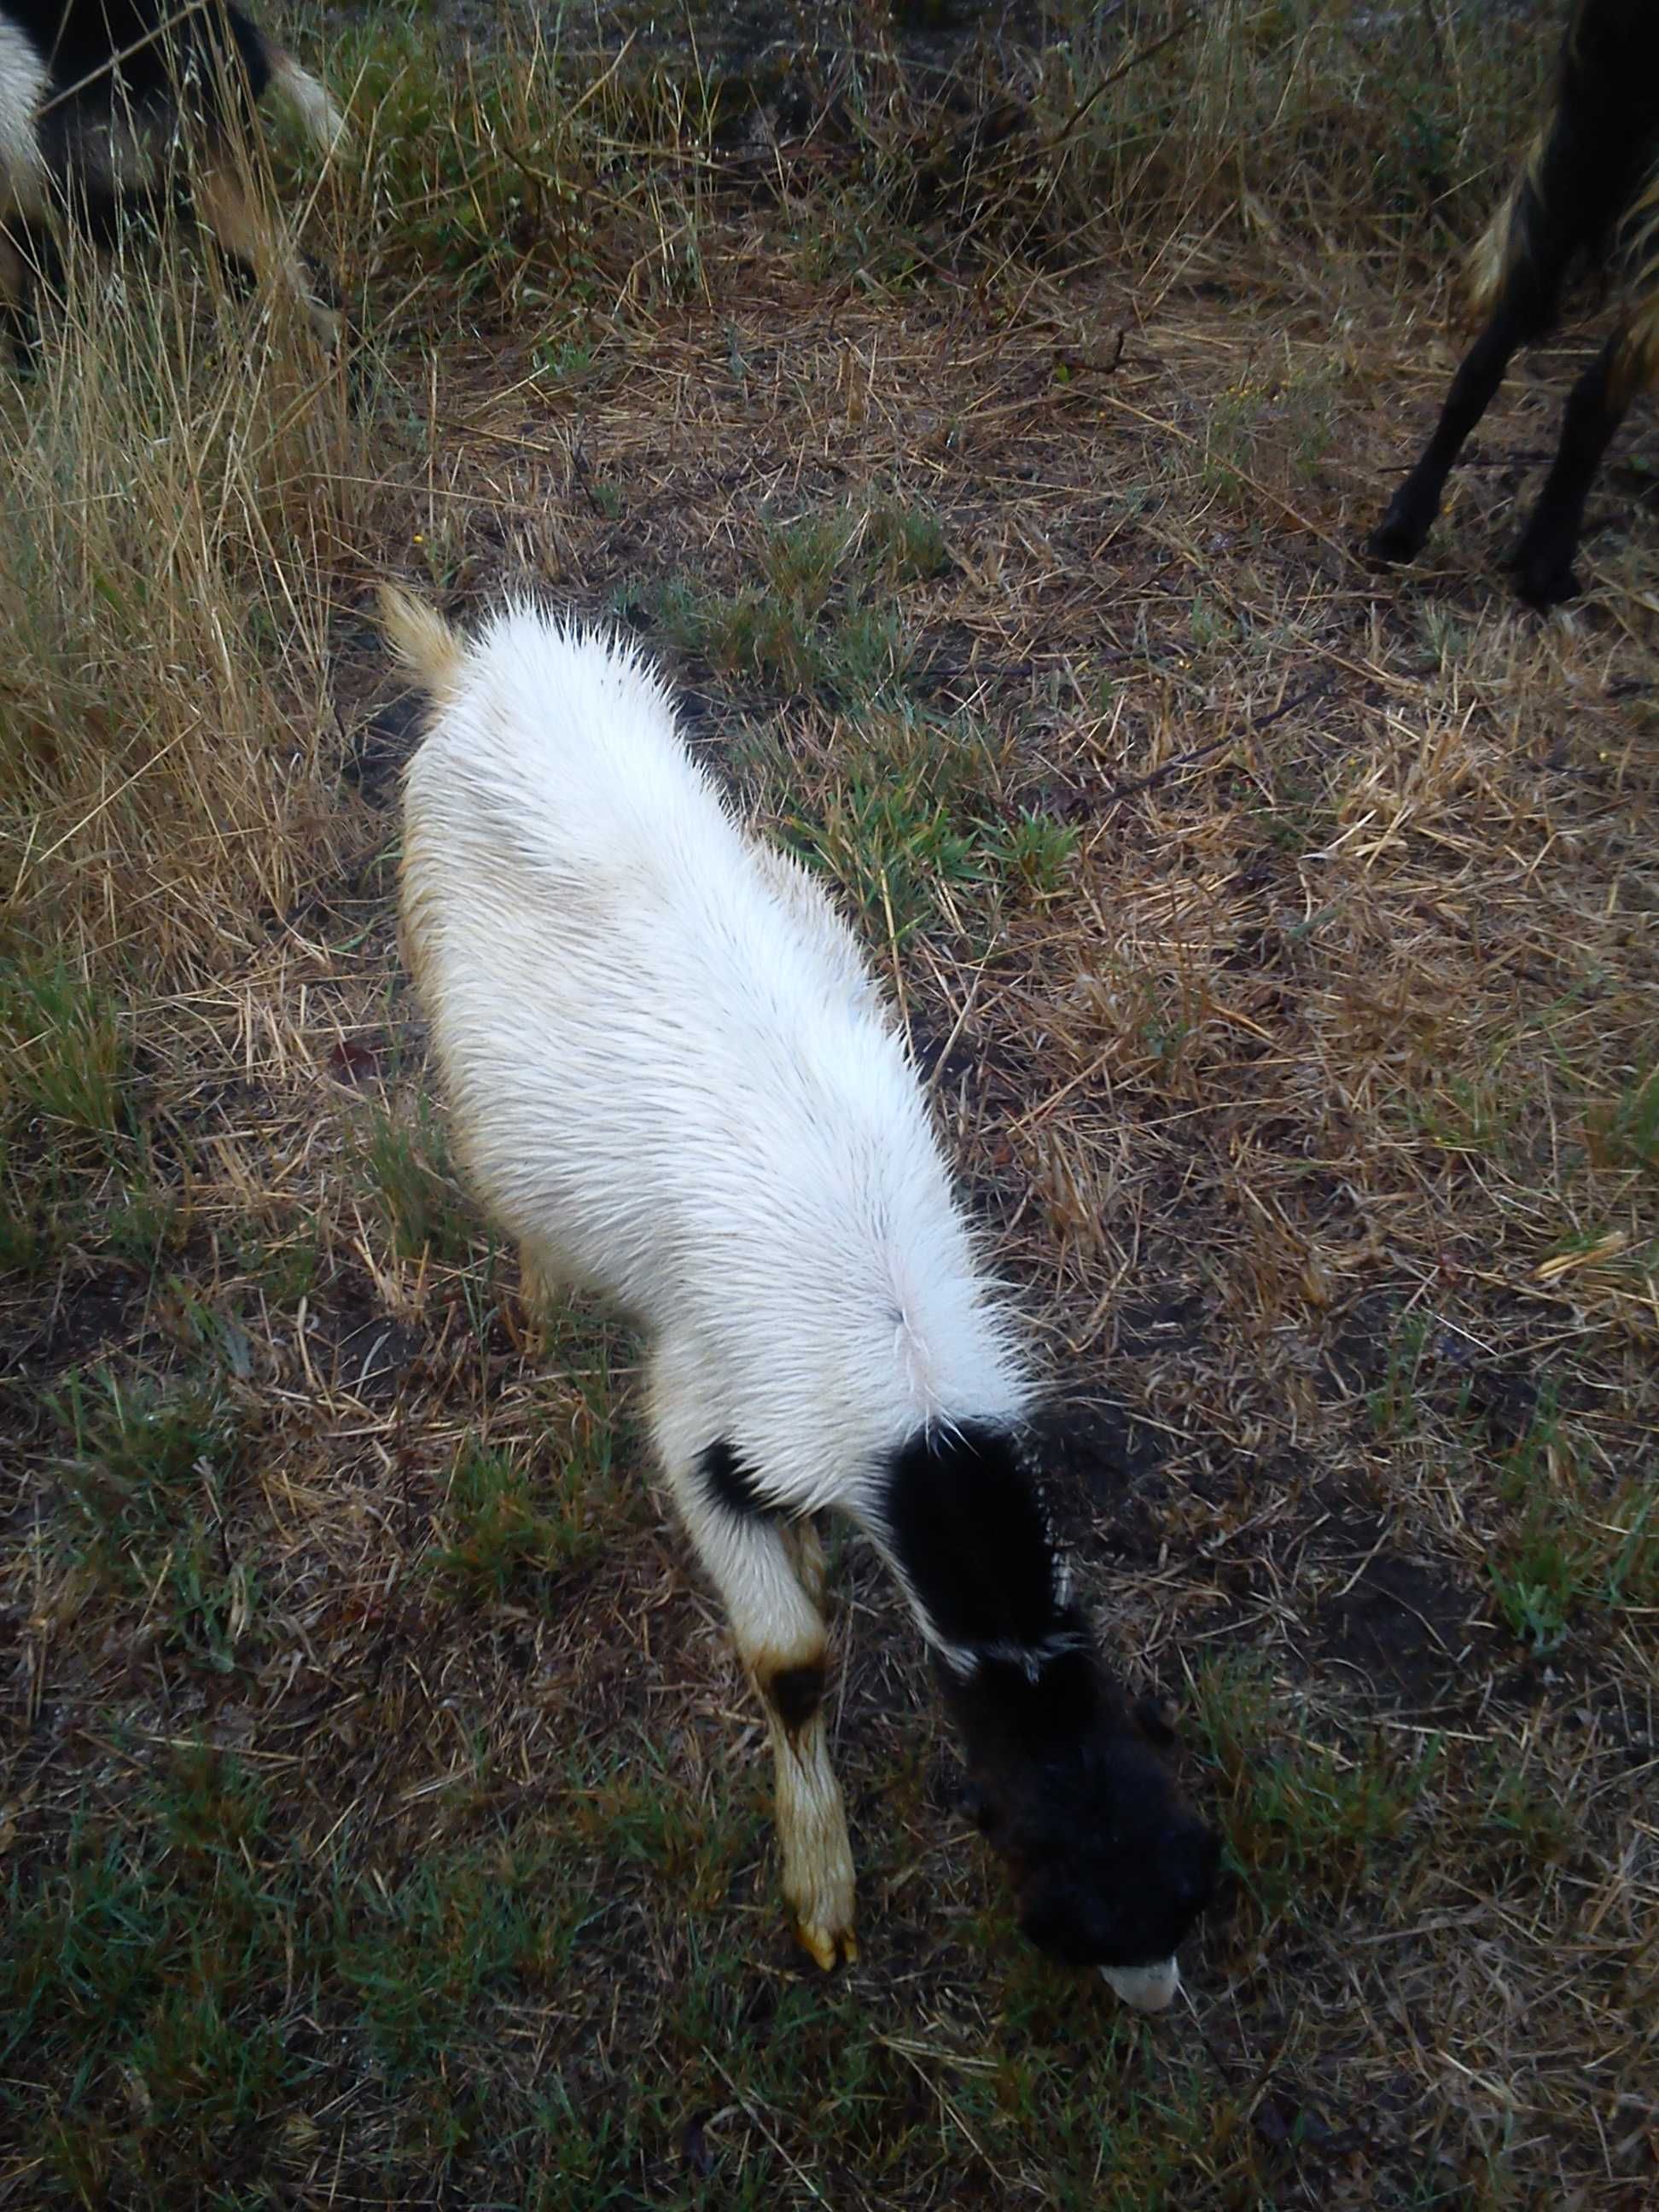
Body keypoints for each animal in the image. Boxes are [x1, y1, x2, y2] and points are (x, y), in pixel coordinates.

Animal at [387, 592, 1220, 2026]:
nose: (1161, 1995)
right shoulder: (707, 1417)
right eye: (1056, 1897)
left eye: (1180, 1882)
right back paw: (540, 1298)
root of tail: (484, 667)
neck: (913, 1388)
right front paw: (821, 1889)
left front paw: (822, 1554)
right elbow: (792, 1661)